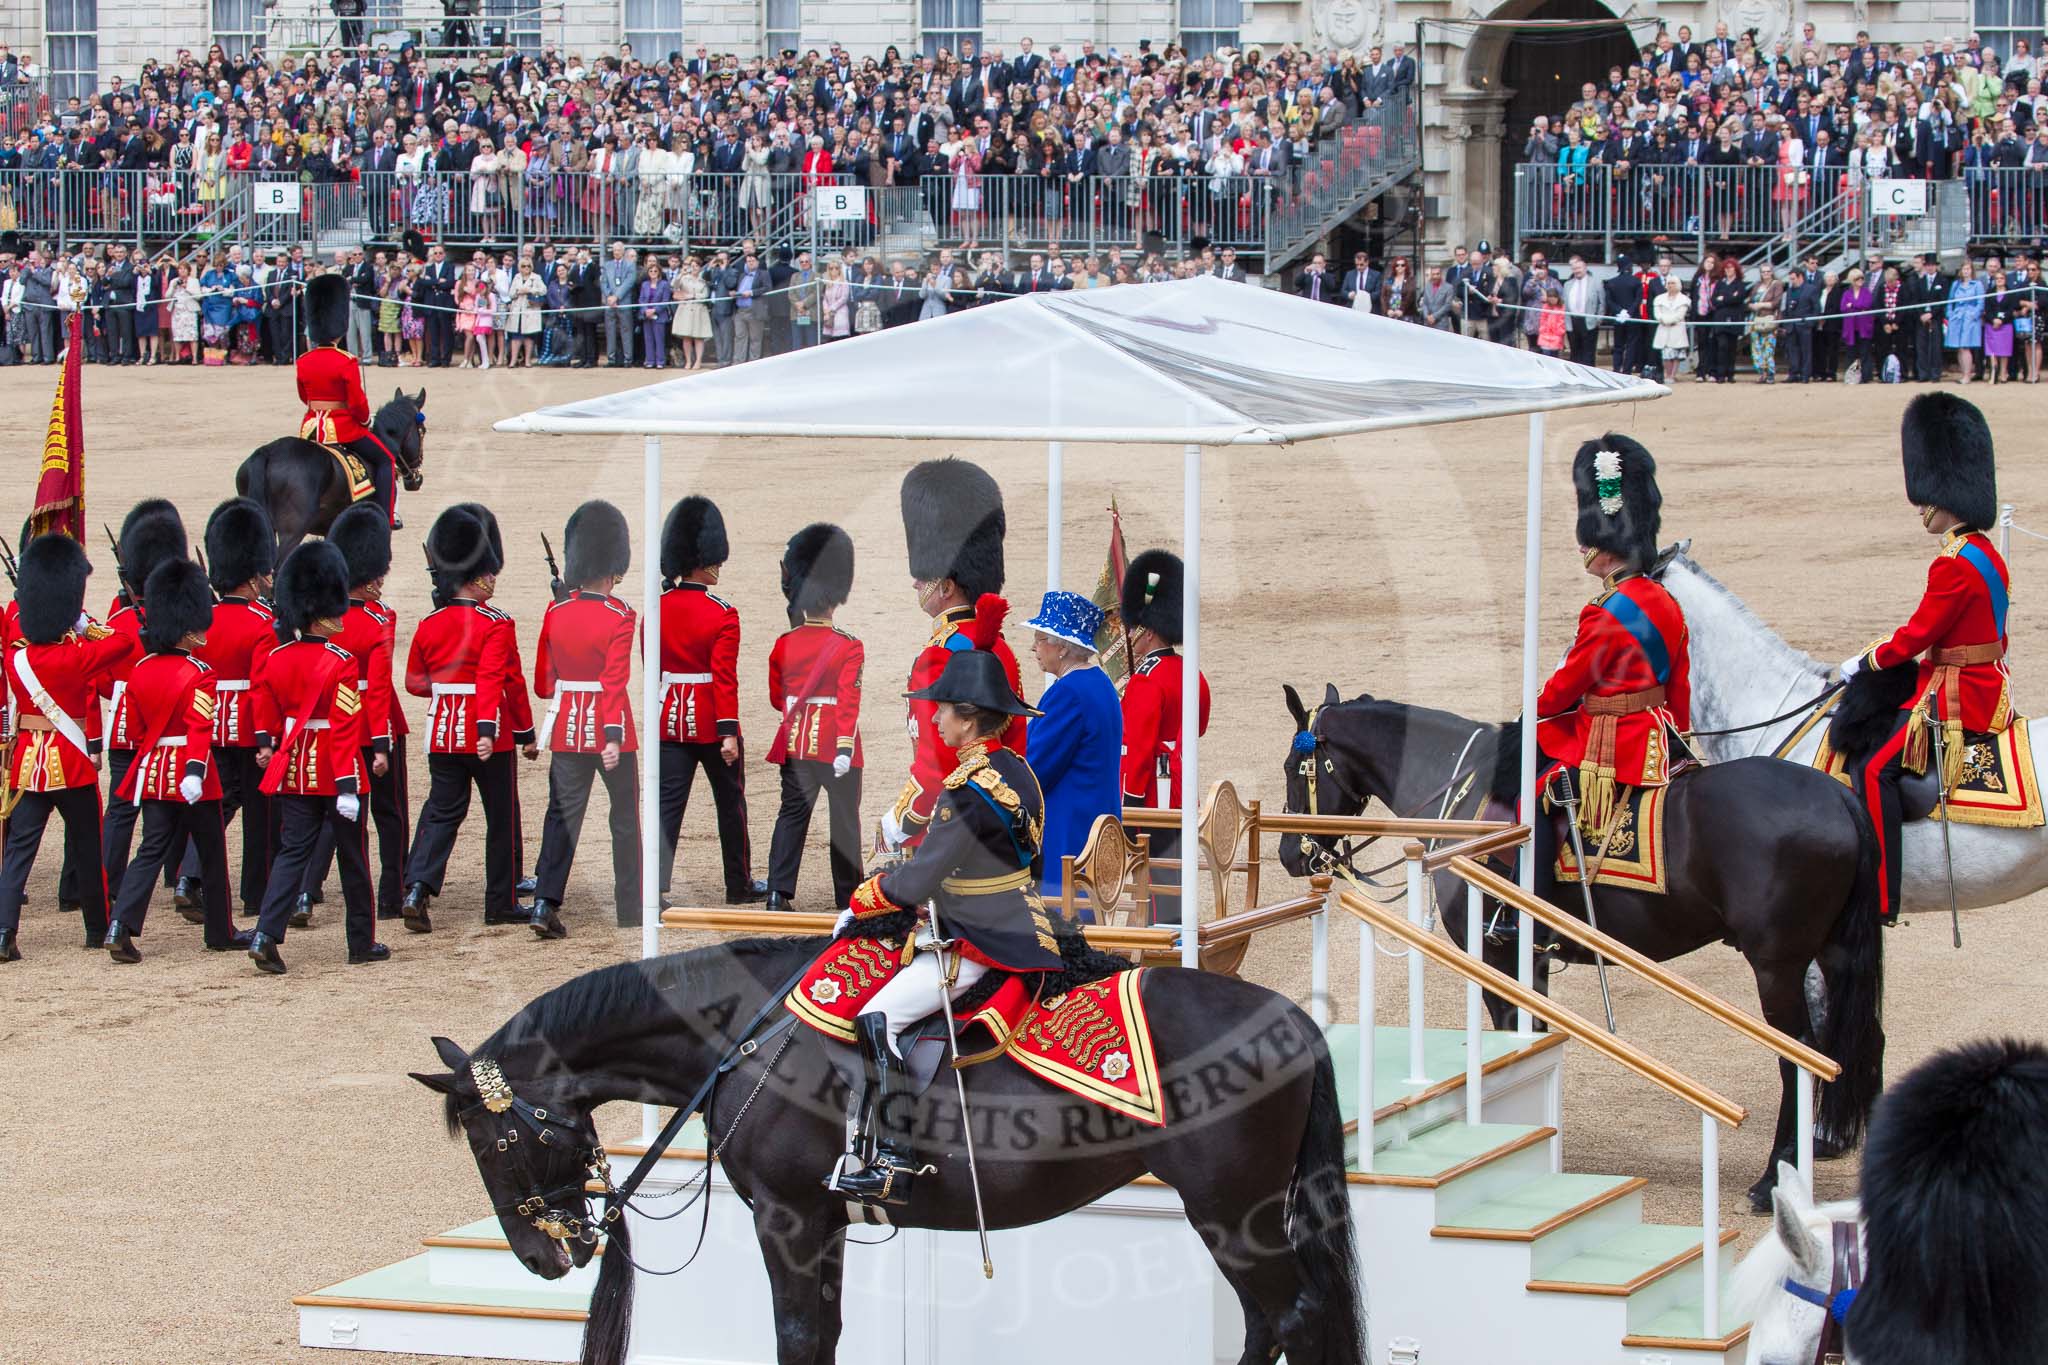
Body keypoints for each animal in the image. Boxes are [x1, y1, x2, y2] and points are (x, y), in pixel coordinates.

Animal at [413, 933, 1368, 1365]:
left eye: (496, 1142)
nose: (541, 1256)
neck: (744, 1040)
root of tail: (1292, 1016)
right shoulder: (824, 1221)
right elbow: (826, 1331)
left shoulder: (790, 1220)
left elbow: (798, 1334)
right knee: (1271, 1320)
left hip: (1232, 1211)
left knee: (1292, 1315)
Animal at [1277, 687, 1884, 1211]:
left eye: (1292, 768)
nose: (1288, 854)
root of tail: (1836, 793)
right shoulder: (1530, 964)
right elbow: (1535, 1041)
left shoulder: (1498, 959)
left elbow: (1513, 1040)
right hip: (1831, 956)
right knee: (1858, 1042)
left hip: (1776, 965)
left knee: (1799, 1056)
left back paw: (1773, 1178)